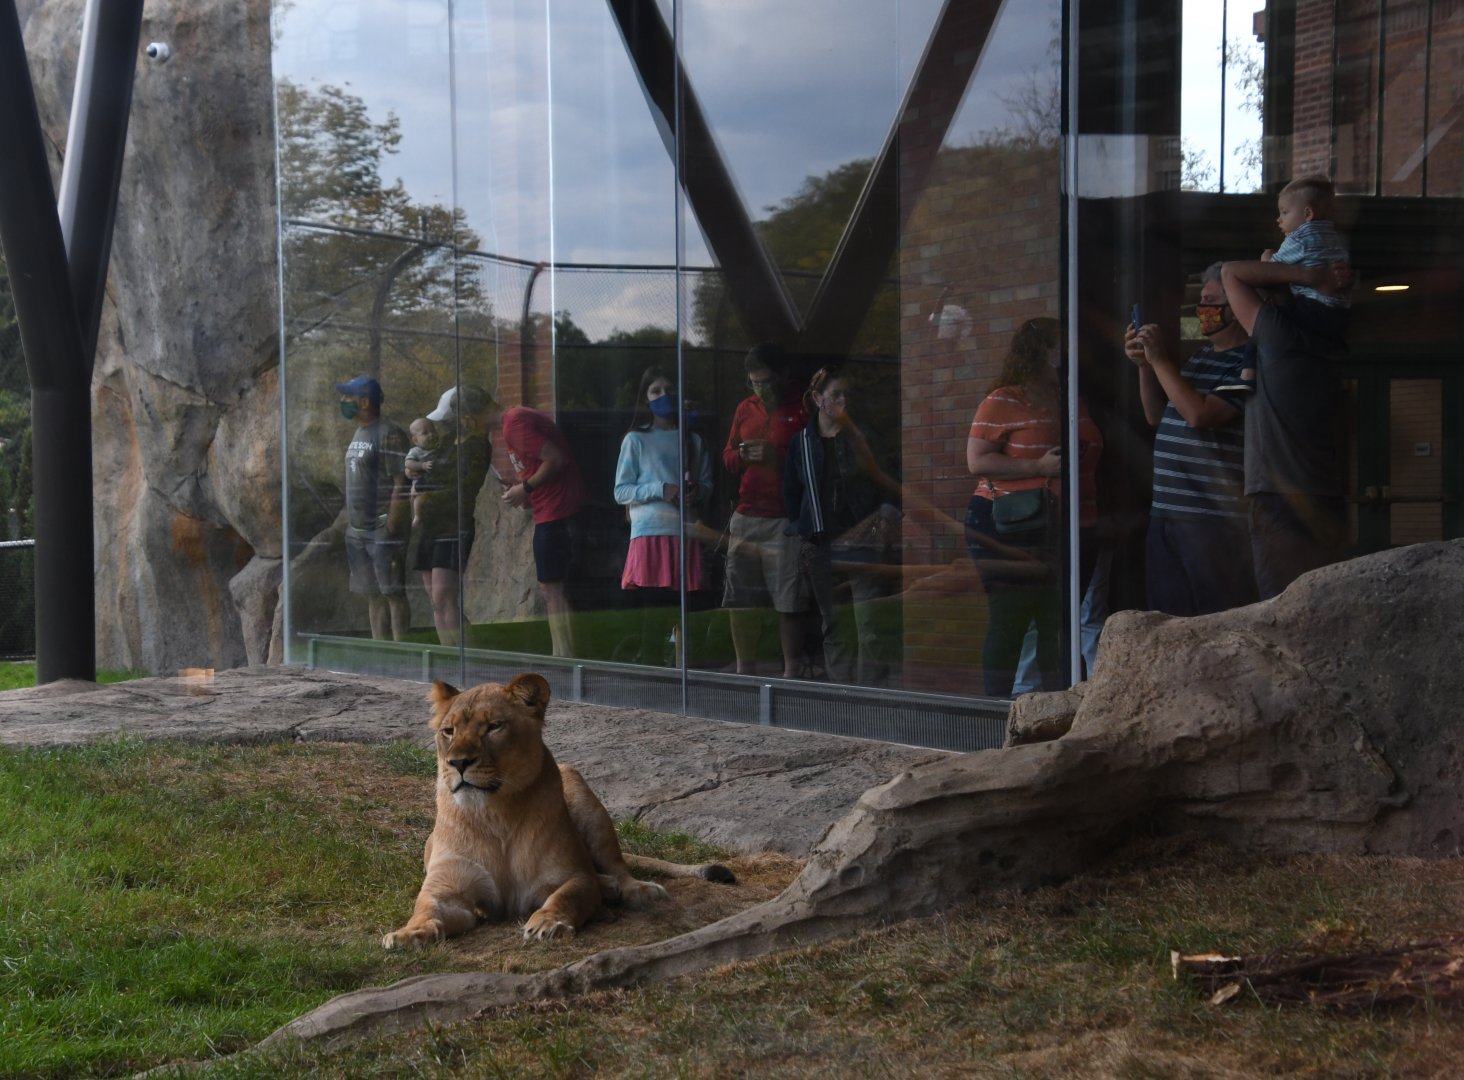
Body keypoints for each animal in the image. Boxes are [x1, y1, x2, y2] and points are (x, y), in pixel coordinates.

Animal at [383, 673, 735, 947]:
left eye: (494, 727)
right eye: (449, 731)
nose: (457, 762)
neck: (494, 813)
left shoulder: (570, 875)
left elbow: (568, 895)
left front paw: (547, 923)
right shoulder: (446, 889)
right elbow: (427, 910)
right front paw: (406, 934)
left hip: (584, 795)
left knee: (617, 866)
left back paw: (632, 889)